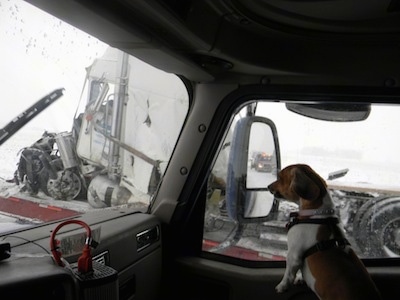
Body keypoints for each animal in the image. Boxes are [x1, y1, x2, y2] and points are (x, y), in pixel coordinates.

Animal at [268, 164, 382, 300]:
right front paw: (301, 278)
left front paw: (282, 286)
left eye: (280, 177)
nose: (268, 186)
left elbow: (289, 274)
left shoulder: (293, 255)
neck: (317, 215)